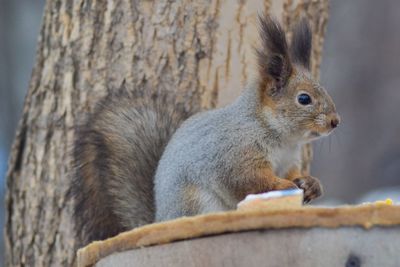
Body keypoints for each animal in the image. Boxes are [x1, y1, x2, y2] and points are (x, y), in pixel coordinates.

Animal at [70, 15, 340, 248]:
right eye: (304, 99)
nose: (335, 121)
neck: (282, 138)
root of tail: (160, 219)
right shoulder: (235, 154)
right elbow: (249, 180)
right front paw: (285, 185)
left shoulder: (288, 160)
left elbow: (293, 172)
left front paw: (311, 184)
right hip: (196, 202)